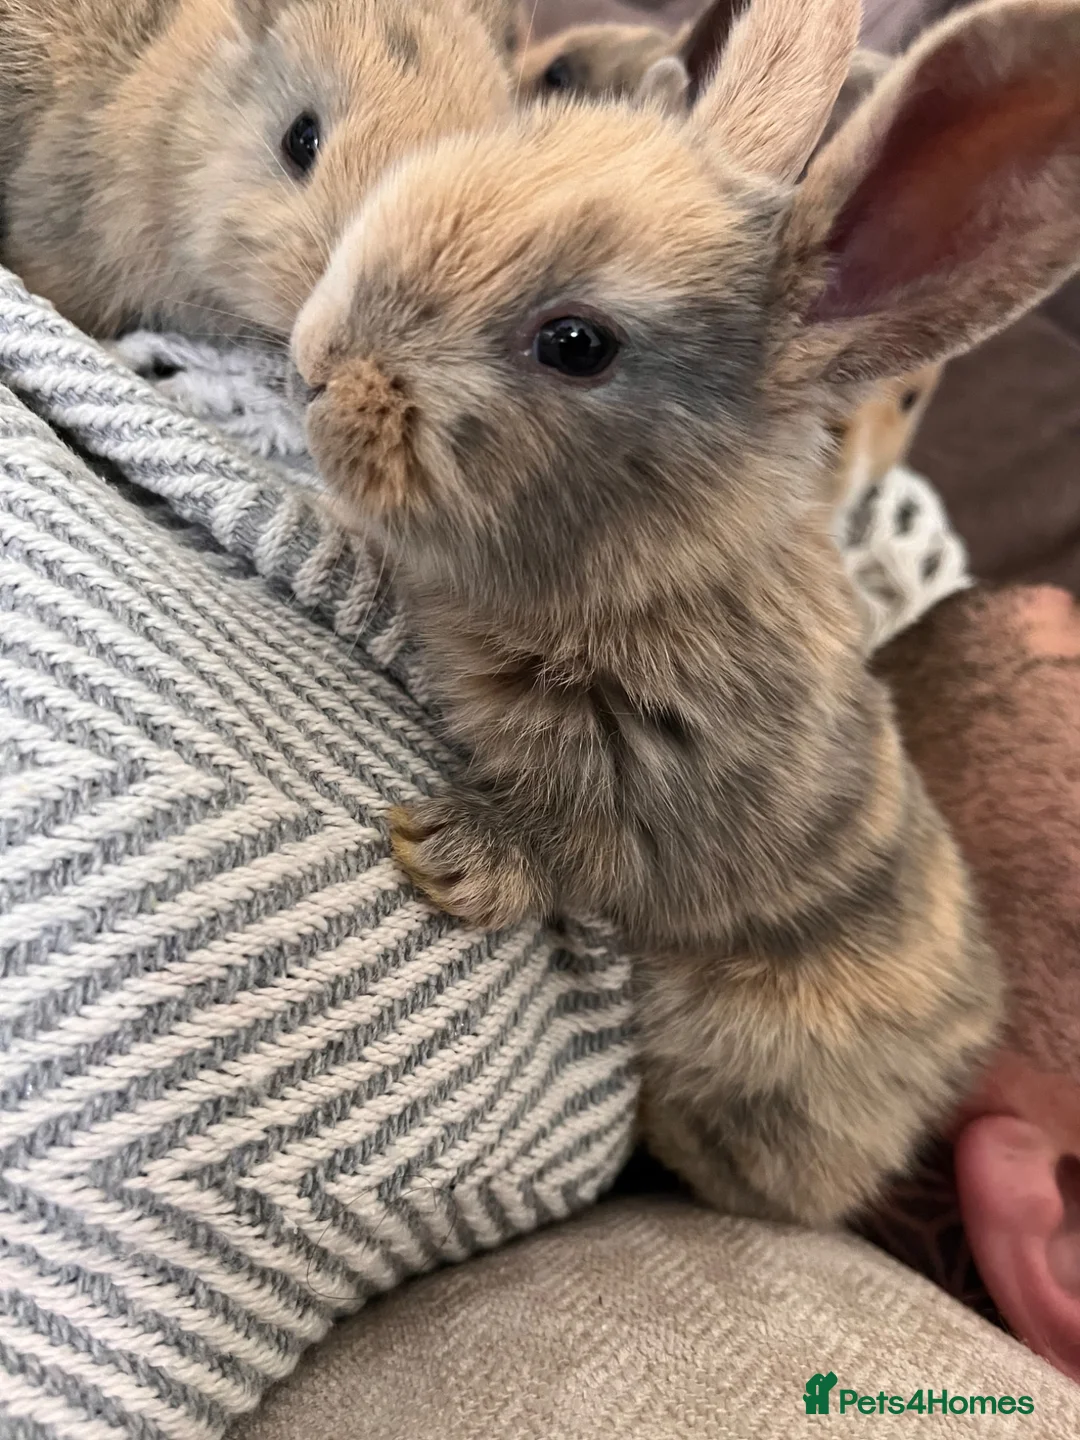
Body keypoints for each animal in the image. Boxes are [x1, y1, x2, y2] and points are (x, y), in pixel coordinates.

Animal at [289, 0, 1080, 1227]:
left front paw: (452, 854)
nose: (318, 364)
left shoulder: (658, 785)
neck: (650, 560)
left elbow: (579, 847)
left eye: (576, 344)